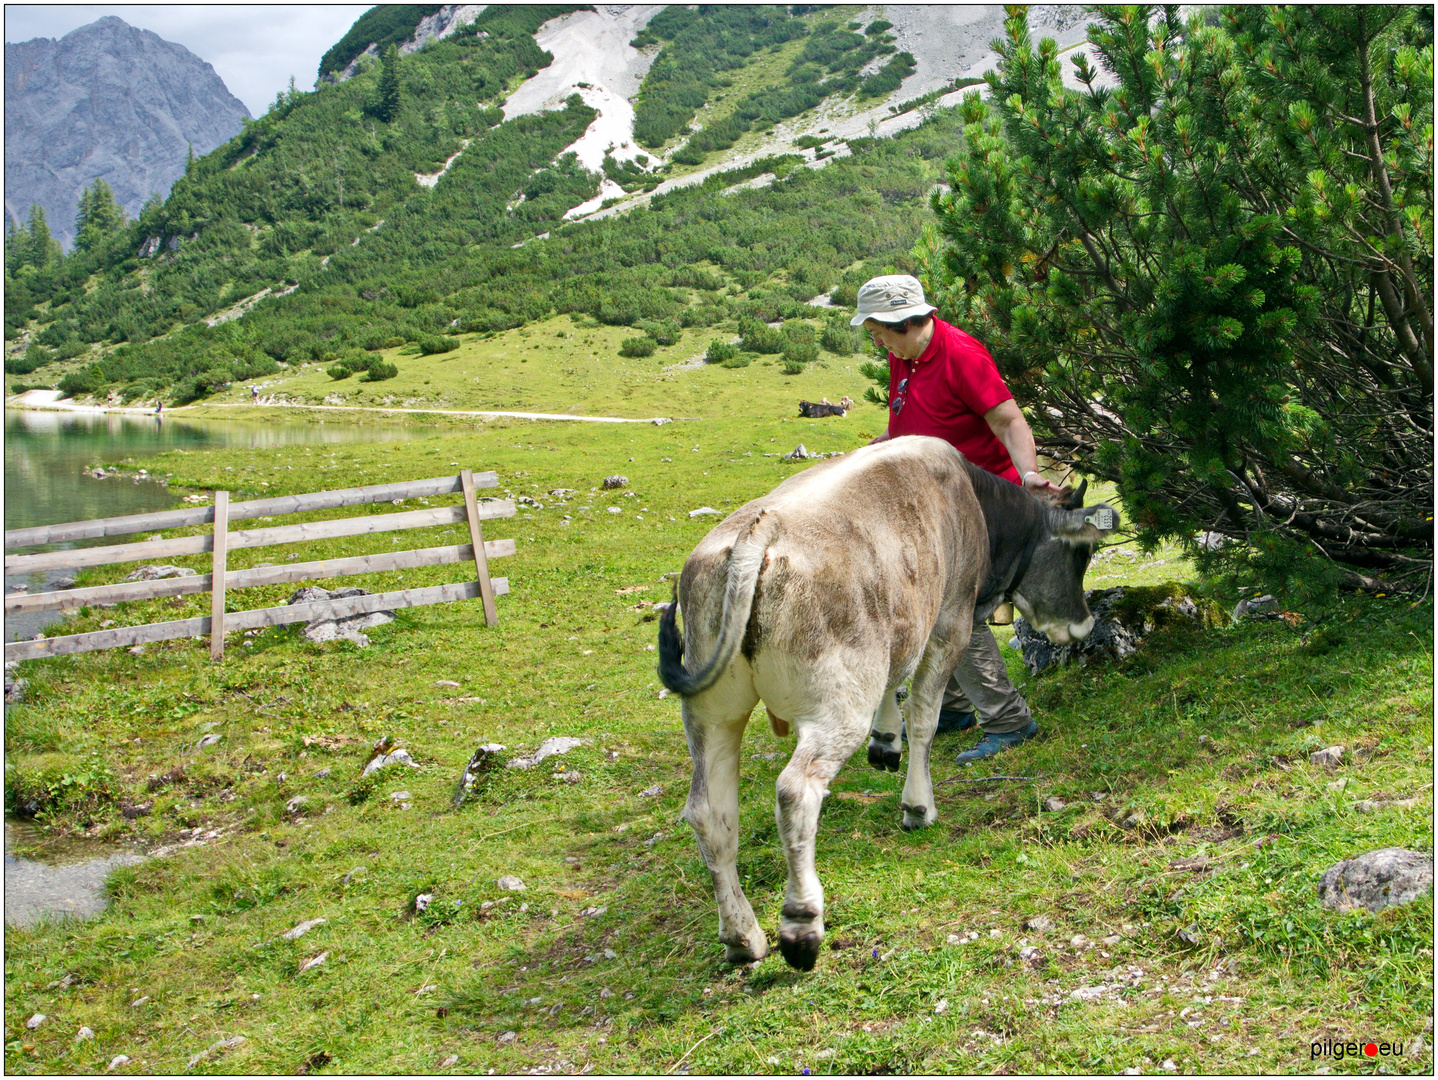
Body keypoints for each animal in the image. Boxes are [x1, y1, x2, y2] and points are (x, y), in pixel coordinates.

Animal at [658, 437, 1115, 972]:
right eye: (1081, 552)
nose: (1085, 625)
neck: (973, 500)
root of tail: (757, 532)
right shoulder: (950, 621)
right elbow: (924, 718)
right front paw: (918, 804)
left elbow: (893, 685)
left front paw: (886, 740)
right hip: (836, 708)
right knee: (796, 791)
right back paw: (801, 924)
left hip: (712, 713)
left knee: (709, 813)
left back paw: (741, 935)